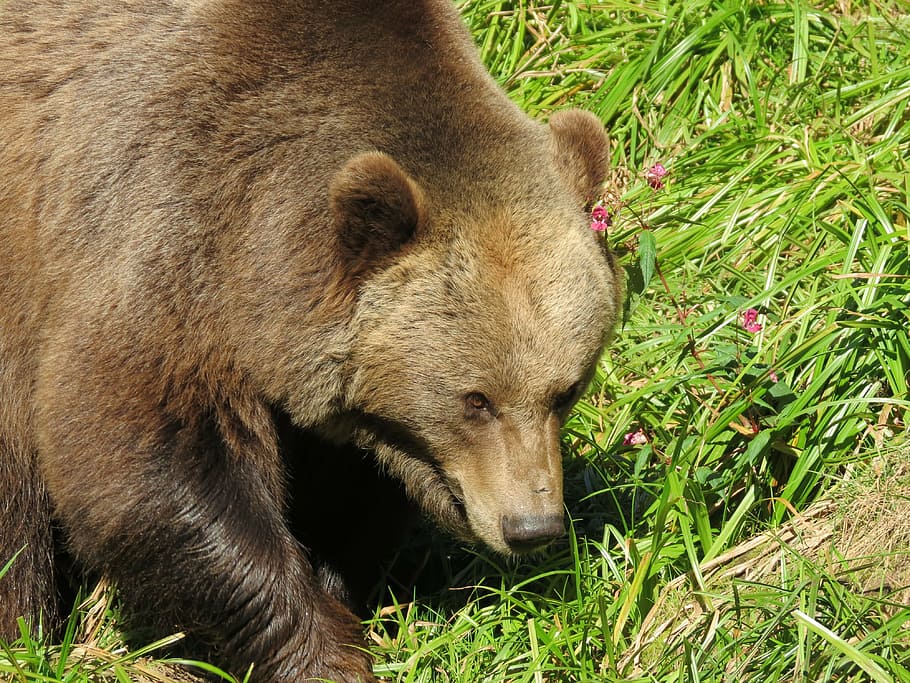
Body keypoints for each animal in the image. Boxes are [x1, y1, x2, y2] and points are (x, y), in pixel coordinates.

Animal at [0, 0, 622, 681]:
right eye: (476, 400)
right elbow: (145, 464)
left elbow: (339, 504)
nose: (531, 525)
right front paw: (323, 656)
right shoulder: (160, 241)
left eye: (566, 391)